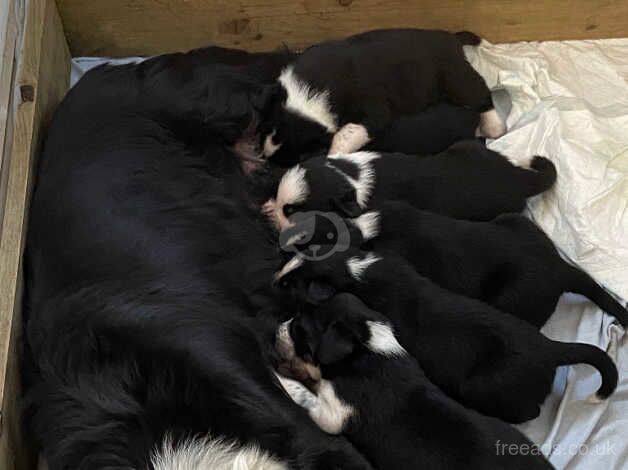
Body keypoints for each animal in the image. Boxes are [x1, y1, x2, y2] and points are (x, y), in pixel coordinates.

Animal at [262, 29, 506, 162]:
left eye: (301, 155)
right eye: (266, 127)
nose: (266, 155)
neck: (312, 88)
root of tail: (452, 38)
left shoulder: (374, 111)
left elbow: (346, 133)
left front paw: (334, 154)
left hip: (456, 79)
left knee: (481, 94)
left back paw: (494, 127)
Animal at [274, 294, 556, 470]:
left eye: (299, 328)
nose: (277, 330)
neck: (370, 349)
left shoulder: (332, 415)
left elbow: (303, 393)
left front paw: (280, 376)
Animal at [276, 248, 620, 424]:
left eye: (292, 286)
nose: (273, 280)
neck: (352, 269)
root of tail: (549, 347)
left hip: (484, 386)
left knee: (529, 412)